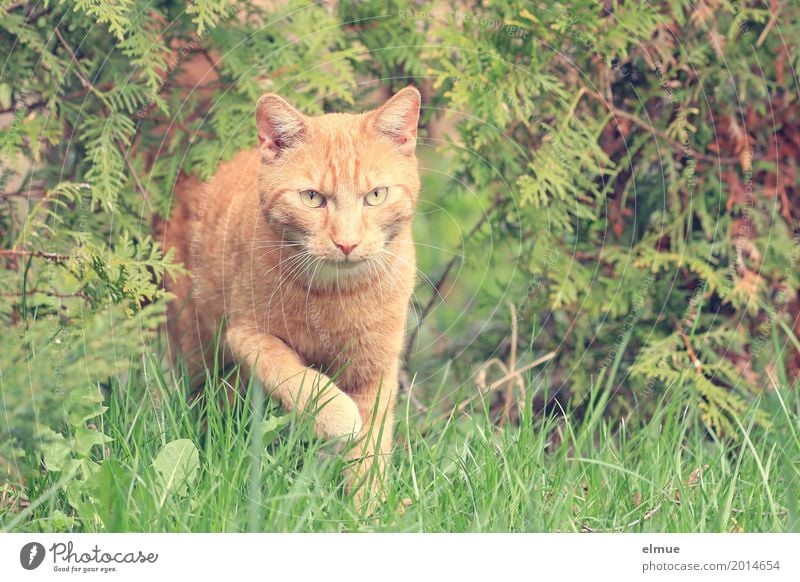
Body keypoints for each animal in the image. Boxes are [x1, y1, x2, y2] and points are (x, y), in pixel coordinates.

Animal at [163, 88, 424, 512]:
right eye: (312, 198)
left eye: (376, 196)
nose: (347, 243)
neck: (335, 296)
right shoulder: (247, 335)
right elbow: (294, 375)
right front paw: (337, 415)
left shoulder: (376, 369)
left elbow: (370, 449)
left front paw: (368, 510)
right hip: (202, 348)